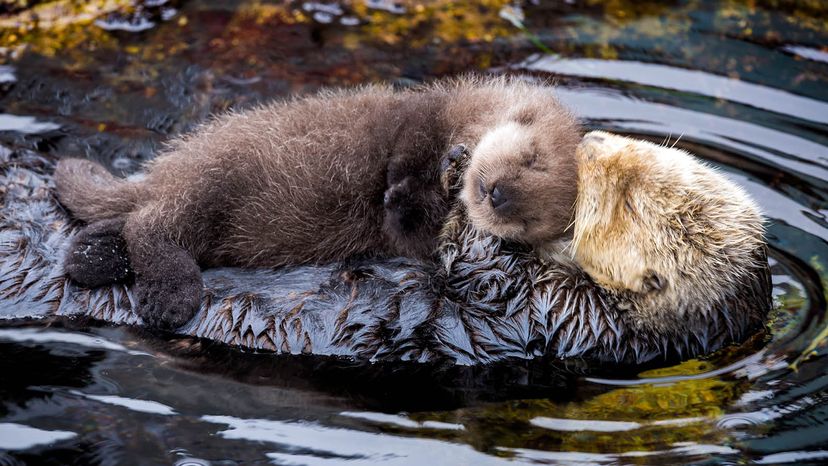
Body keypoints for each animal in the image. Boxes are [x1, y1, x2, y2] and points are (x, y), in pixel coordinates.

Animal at [53, 76, 584, 330]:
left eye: (530, 220)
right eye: (533, 159)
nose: (499, 195)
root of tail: (170, 168)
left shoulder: (416, 240)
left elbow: (412, 231)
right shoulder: (421, 119)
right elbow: (406, 155)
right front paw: (430, 176)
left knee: (135, 225)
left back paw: (91, 257)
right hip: (213, 179)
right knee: (151, 224)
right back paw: (167, 298)